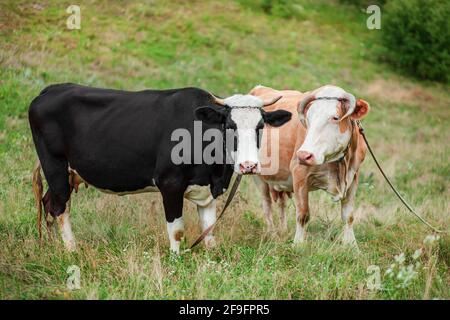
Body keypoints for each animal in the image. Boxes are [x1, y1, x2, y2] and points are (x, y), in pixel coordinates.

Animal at [29, 84, 292, 254]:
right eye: (229, 125)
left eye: (260, 126)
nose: (249, 165)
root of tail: (50, 89)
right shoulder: (170, 183)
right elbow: (176, 231)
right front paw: (176, 262)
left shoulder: (207, 192)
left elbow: (208, 230)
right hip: (55, 166)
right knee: (59, 207)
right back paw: (71, 250)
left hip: (66, 174)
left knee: (48, 202)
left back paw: (52, 245)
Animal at [250, 84, 370, 245]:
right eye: (309, 118)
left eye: (335, 117)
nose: (304, 155)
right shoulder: (299, 173)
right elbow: (303, 215)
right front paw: (298, 244)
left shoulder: (353, 177)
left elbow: (348, 216)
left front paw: (351, 245)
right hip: (258, 176)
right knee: (266, 205)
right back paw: (272, 234)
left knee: (281, 204)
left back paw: (283, 231)